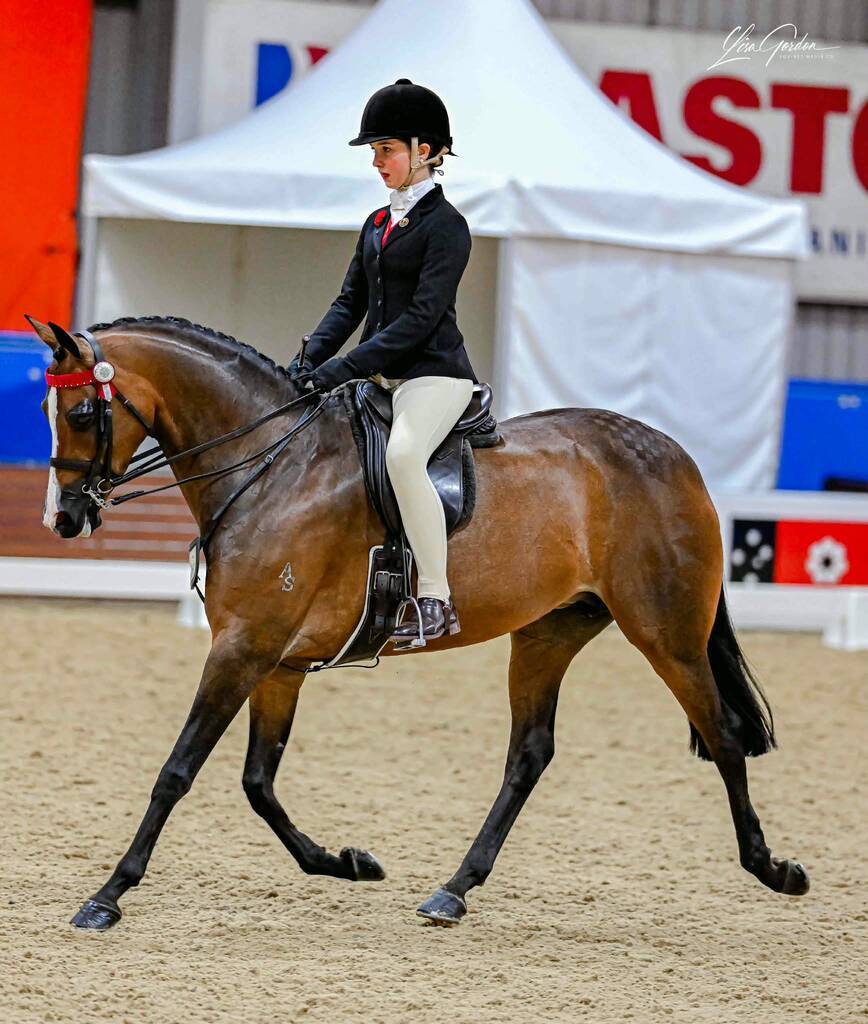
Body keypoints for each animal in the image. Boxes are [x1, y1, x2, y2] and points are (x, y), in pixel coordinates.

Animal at [28, 313, 809, 930]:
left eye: (79, 414)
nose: (63, 520)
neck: (273, 467)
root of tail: (674, 455)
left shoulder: (243, 649)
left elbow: (177, 771)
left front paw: (107, 895)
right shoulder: (277, 662)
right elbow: (258, 782)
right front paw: (346, 862)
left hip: (666, 634)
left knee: (723, 735)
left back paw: (774, 869)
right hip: (549, 631)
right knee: (529, 755)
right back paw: (453, 890)